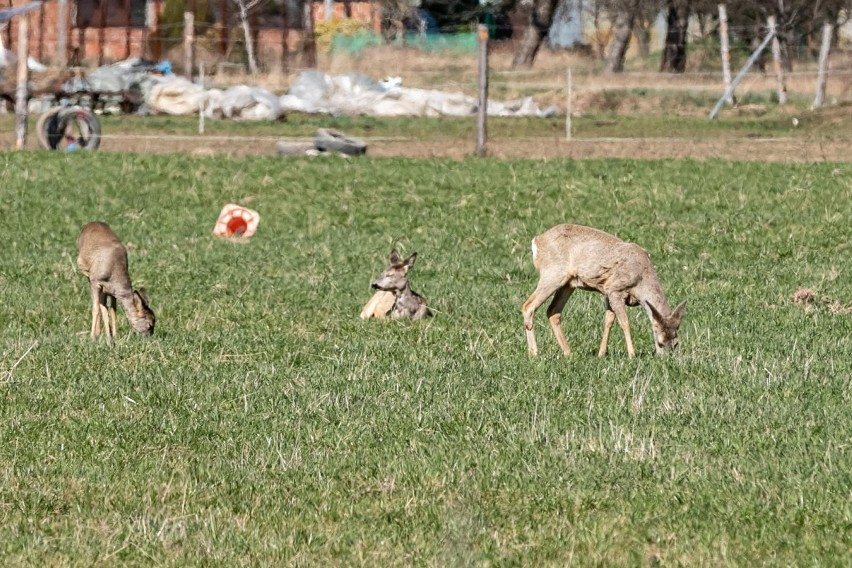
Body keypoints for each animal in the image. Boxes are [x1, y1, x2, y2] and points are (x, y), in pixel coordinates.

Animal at [520, 224, 684, 358]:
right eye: (660, 342)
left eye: (676, 343)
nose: (665, 358)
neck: (641, 277)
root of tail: (537, 241)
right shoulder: (615, 289)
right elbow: (624, 322)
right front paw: (632, 355)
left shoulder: (608, 292)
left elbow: (608, 321)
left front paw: (601, 354)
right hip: (552, 275)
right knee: (528, 306)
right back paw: (534, 353)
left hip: (568, 284)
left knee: (553, 311)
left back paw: (568, 353)